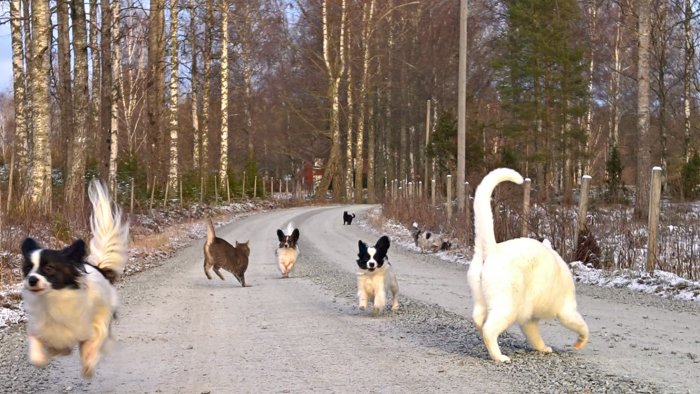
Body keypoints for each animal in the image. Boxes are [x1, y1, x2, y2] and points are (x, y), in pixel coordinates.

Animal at [20, 180, 129, 378]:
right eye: (27, 268)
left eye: (49, 268)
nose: (31, 280)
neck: (53, 299)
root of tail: (99, 268)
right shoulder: (40, 328)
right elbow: (37, 347)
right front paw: (41, 357)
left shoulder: (95, 326)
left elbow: (92, 345)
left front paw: (88, 364)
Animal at [468, 168, 588, 362]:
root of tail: (493, 249)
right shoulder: (567, 310)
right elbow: (582, 326)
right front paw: (579, 343)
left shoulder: (528, 319)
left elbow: (535, 337)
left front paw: (543, 348)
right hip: (507, 308)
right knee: (489, 329)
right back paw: (499, 357)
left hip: (483, 300)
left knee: (478, 319)